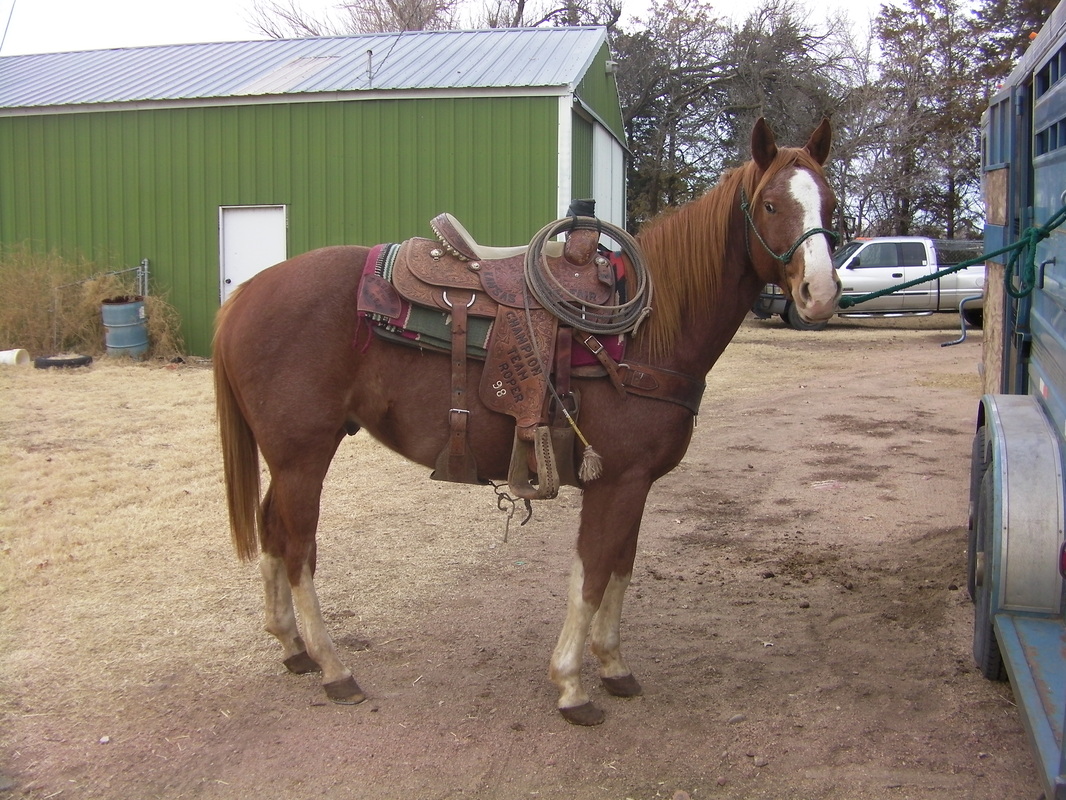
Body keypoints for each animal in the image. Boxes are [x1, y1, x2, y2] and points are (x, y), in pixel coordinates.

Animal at [210, 118, 840, 725]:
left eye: (830, 202)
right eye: (770, 205)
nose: (821, 292)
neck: (646, 332)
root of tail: (245, 295)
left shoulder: (637, 484)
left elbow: (621, 569)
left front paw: (613, 666)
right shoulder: (616, 482)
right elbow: (592, 575)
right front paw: (571, 686)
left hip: (289, 458)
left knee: (272, 530)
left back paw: (292, 648)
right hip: (303, 456)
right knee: (298, 547)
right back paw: (333, 667)